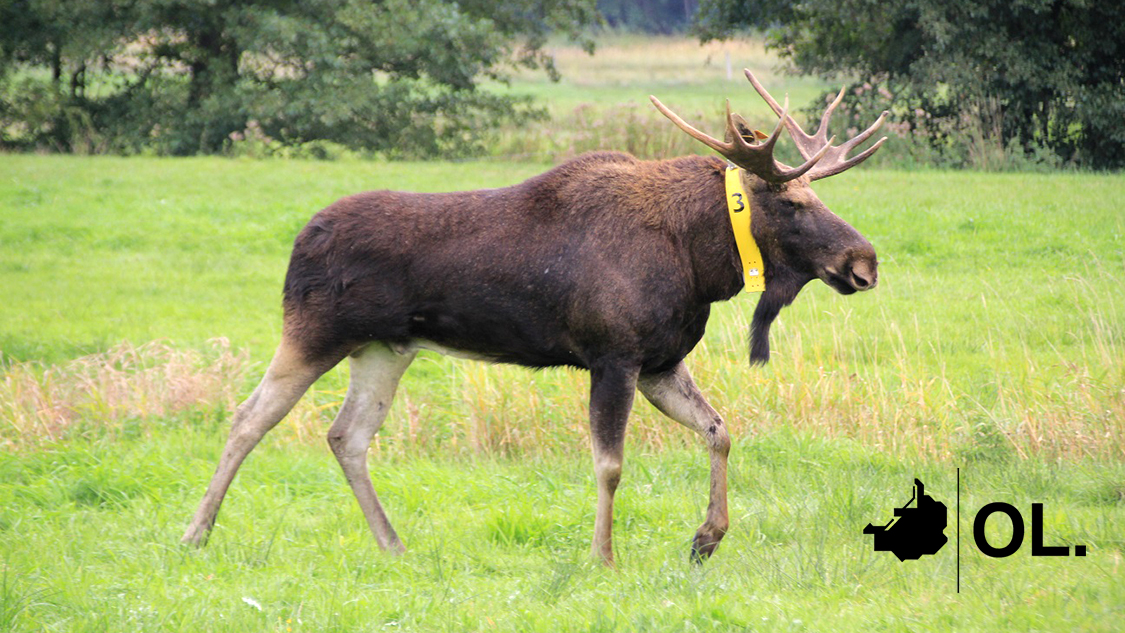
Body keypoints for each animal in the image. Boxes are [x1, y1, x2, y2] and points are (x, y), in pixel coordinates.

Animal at [182, 71, 886, 566]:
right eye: (793, 203)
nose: (864, 262)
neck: (699, 259)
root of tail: (301, 238)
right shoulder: (613, 356)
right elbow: (610, 464)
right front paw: (603, 557)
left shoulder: (660, 362)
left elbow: (720, 430)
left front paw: (705, 538)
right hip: (313, 332)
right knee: (248, 418)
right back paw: (196, 532)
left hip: (386, 349)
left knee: (345, 435)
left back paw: (393, 544)